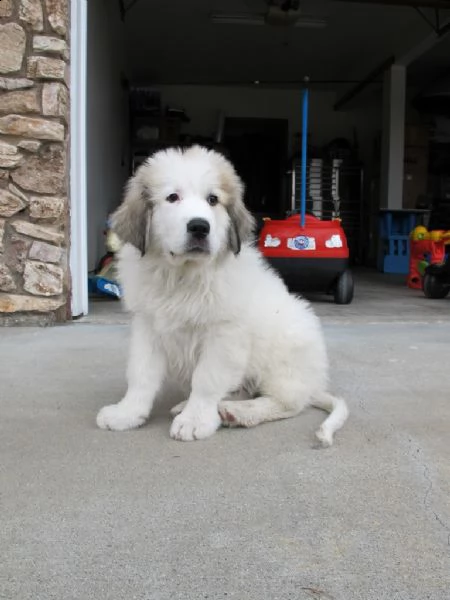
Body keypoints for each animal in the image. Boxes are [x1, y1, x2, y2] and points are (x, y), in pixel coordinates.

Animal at [96, 146, 348, 446]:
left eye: (213, 199)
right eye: (172, 197)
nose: (199, 226)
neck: (183, 276)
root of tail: (314, 384)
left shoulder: (224, 335)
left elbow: (206, 379)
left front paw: (195, 420)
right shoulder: (148, 327)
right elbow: (141, 374)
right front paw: (127, 413)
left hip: (285, 354)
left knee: (287, 402)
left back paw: (237, 412)